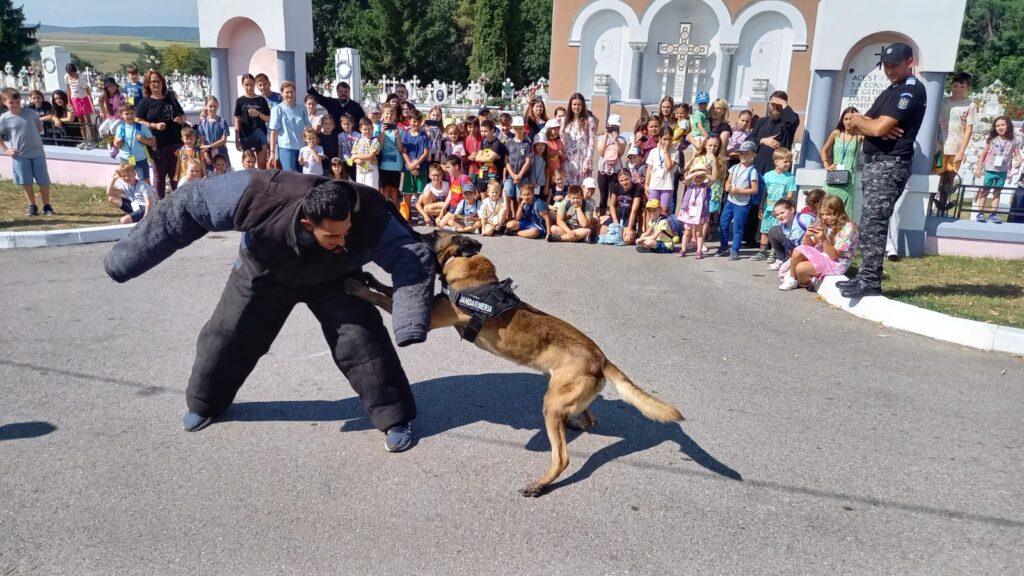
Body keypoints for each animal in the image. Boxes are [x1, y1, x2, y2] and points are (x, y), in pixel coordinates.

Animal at [345, 230, 683, 496]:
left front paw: (355, 285)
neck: (466, 268)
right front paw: (369, 278)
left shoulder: (431, 317)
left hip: (551, 405)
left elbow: (384, 298)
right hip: (563, 392)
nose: (411, 232)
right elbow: (388, 290)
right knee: (590, 417)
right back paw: (575, 422)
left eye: (431, 234)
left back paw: (539, 485)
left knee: (562, 457)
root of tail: (601, 357)